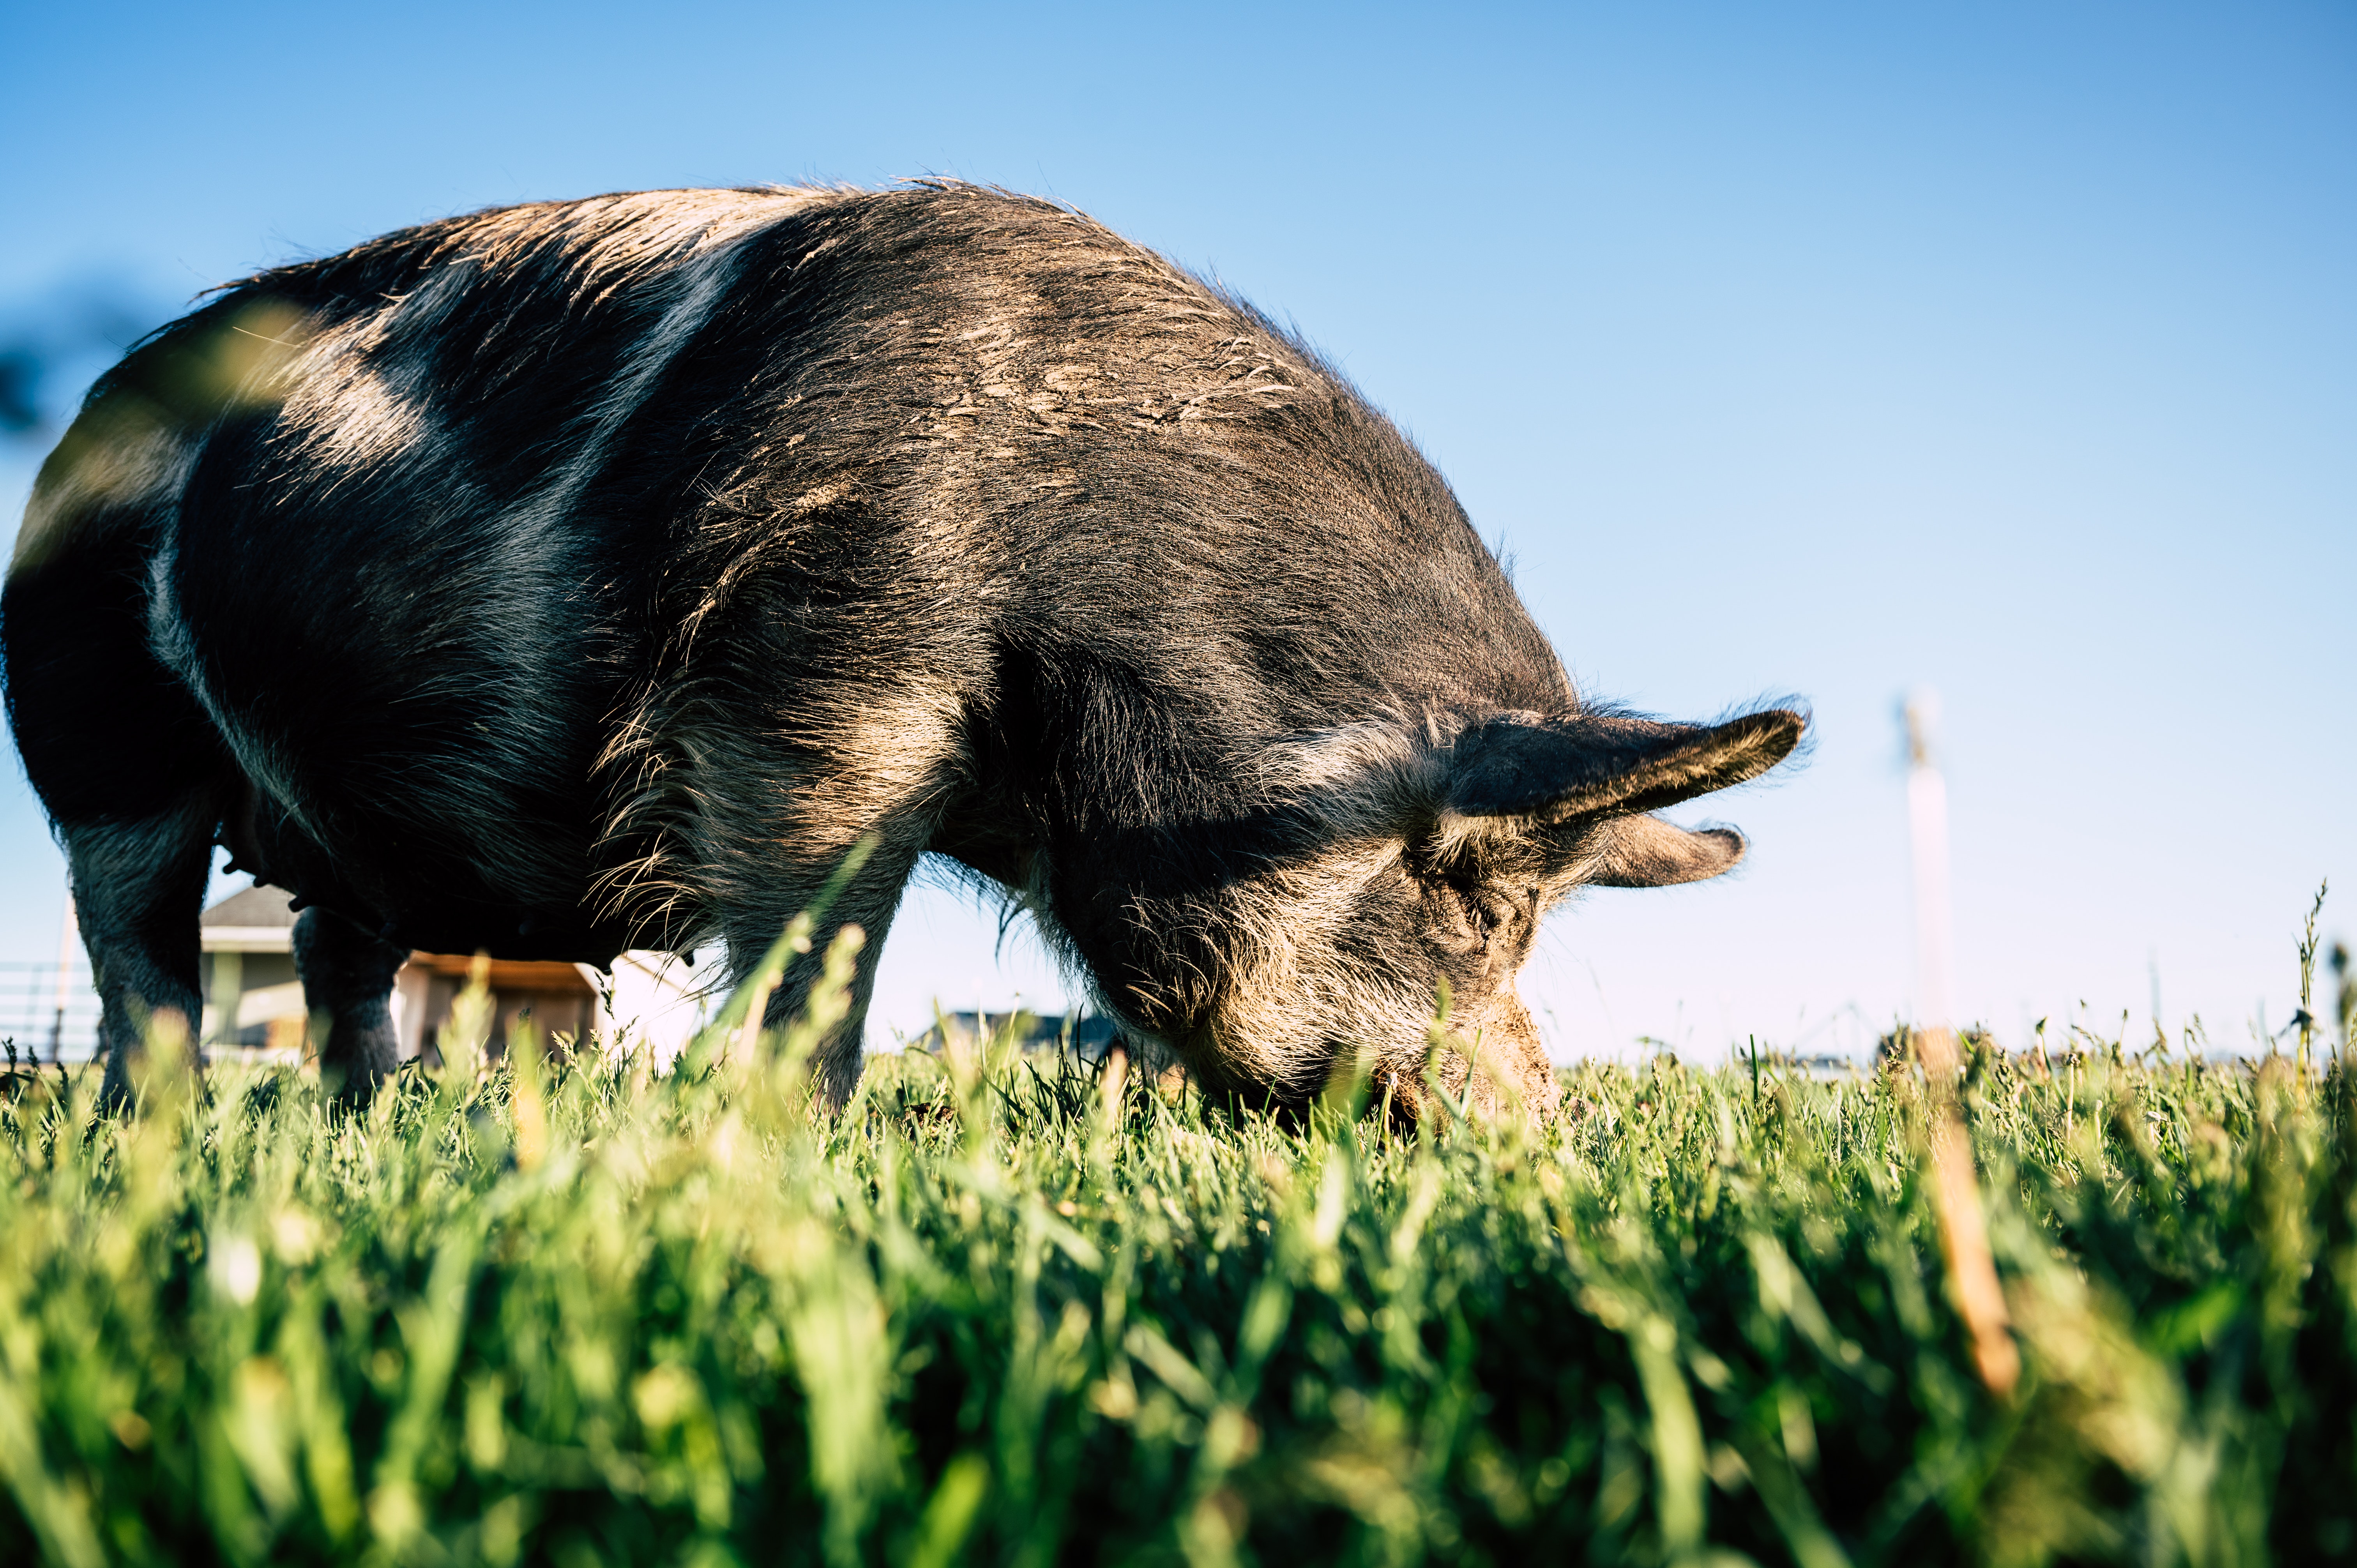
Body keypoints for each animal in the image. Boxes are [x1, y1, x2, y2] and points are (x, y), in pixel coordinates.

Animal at [4, 184, 1800, 1108]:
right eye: (1479, 896)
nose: (1529, 1133)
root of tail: (90, 418)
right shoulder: (801, 689)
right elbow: (821, 952)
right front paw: (789, 1148)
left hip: (330, 826)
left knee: (339, 952)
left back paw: (372, 1129)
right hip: (90, 726)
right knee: (140, 949)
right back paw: (155, 1134)